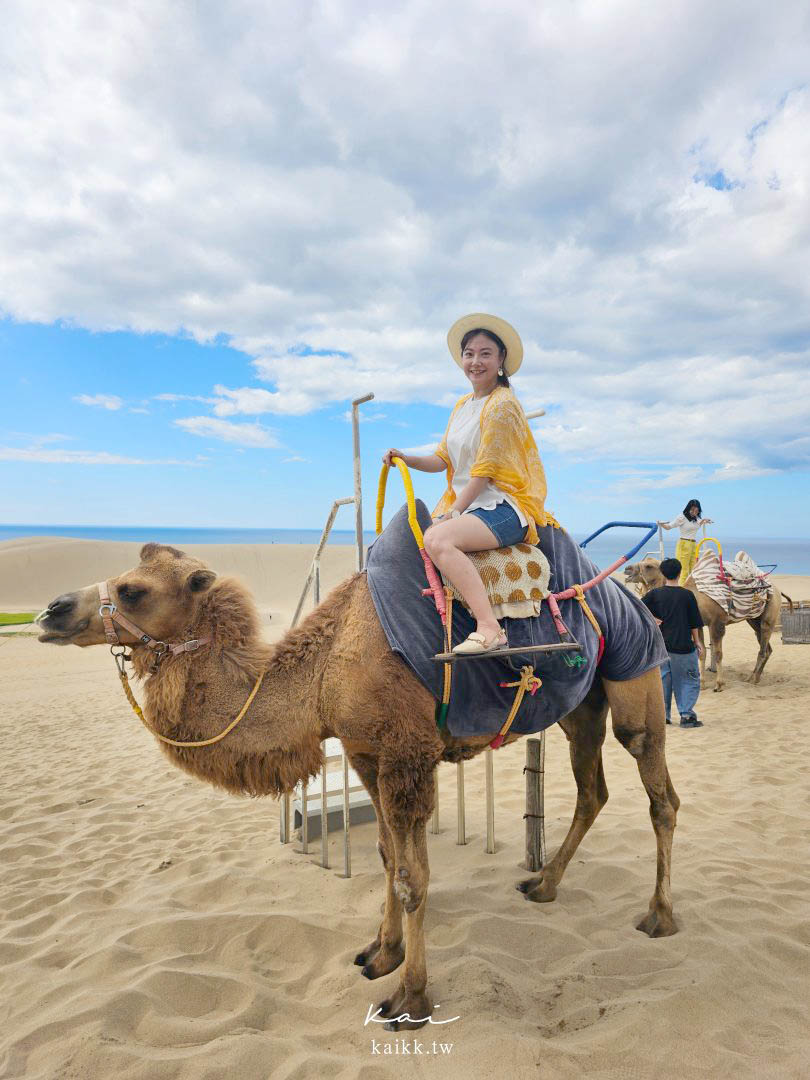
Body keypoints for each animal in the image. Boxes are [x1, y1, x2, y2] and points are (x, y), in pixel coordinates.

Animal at [38, 540, 682, 1028]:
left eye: (133, 590)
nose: (50, 612)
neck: (323, 669)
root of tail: (633, 596)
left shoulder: (406, 756)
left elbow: (413, 877)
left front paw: (411, 999)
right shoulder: (364, 752)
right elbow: (384, 854)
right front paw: (381, 954)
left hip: (637, 676)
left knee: (661, 797)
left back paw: (660, 916)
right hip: (580, 704)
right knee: (593, 790)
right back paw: (544, 885)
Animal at [622, 552, 786, 695]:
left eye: (649, 565)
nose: (627, 569)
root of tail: (777, 589)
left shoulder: (717, 623)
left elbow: (718, 653)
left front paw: (719, 685)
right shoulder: (698, 623)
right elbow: (702, 652)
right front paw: (702, 684)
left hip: (769, 616)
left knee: (763, 648)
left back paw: (754, 679)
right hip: (753, 620)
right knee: (766, 647)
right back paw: (753, 677)